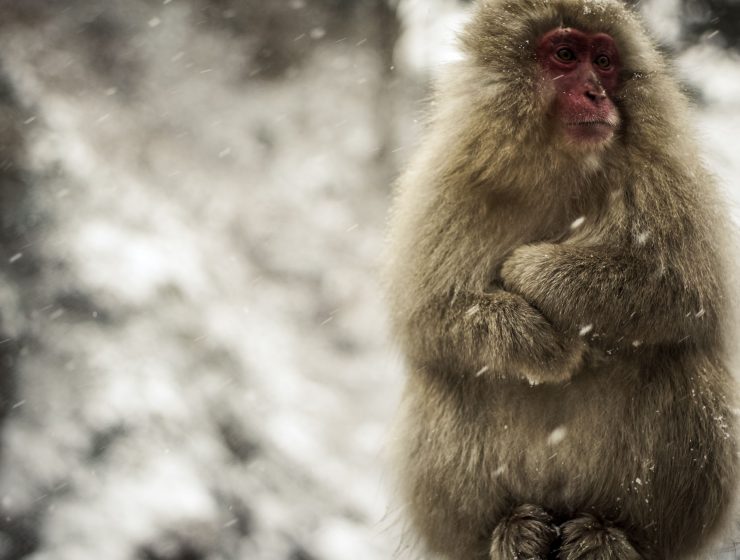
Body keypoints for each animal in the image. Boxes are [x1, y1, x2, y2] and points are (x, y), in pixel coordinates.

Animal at [384, 1, 739, 559]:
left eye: (604, 61)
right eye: (567, 55)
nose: (596, 92)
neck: (558, 167)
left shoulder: (666, 177)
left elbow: (687, 292)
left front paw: (534, 272)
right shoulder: (447, 182)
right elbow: (428, 315)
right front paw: (543, 344)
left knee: (680, 360)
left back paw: (611, 534)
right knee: (445, 375)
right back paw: (510, 528)